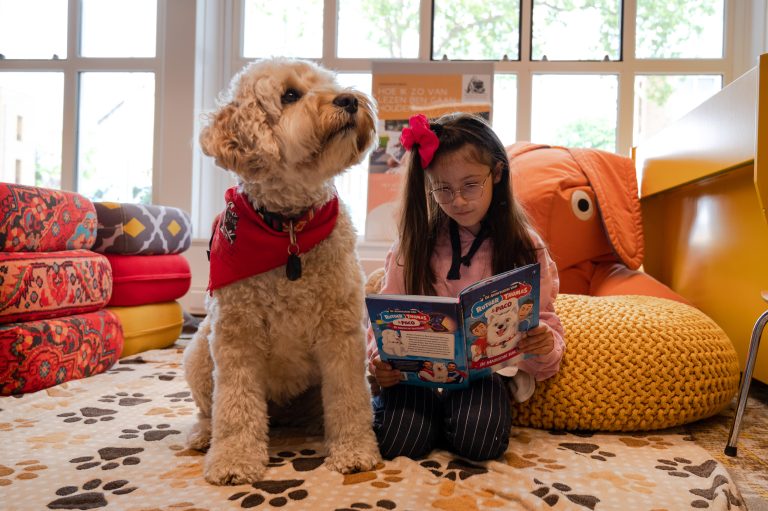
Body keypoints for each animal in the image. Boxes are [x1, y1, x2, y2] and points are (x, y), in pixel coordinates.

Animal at [183, 58, 380, 486]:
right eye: (290, 95)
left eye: (331, 83)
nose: (349, 100)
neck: (289, 229)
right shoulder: (235, 335)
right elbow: (235, 405)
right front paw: (234, 460)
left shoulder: (341, 332)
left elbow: (349, 398)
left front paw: (354, 450)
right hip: (199, 352)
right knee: (210, 408)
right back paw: (204, 435)